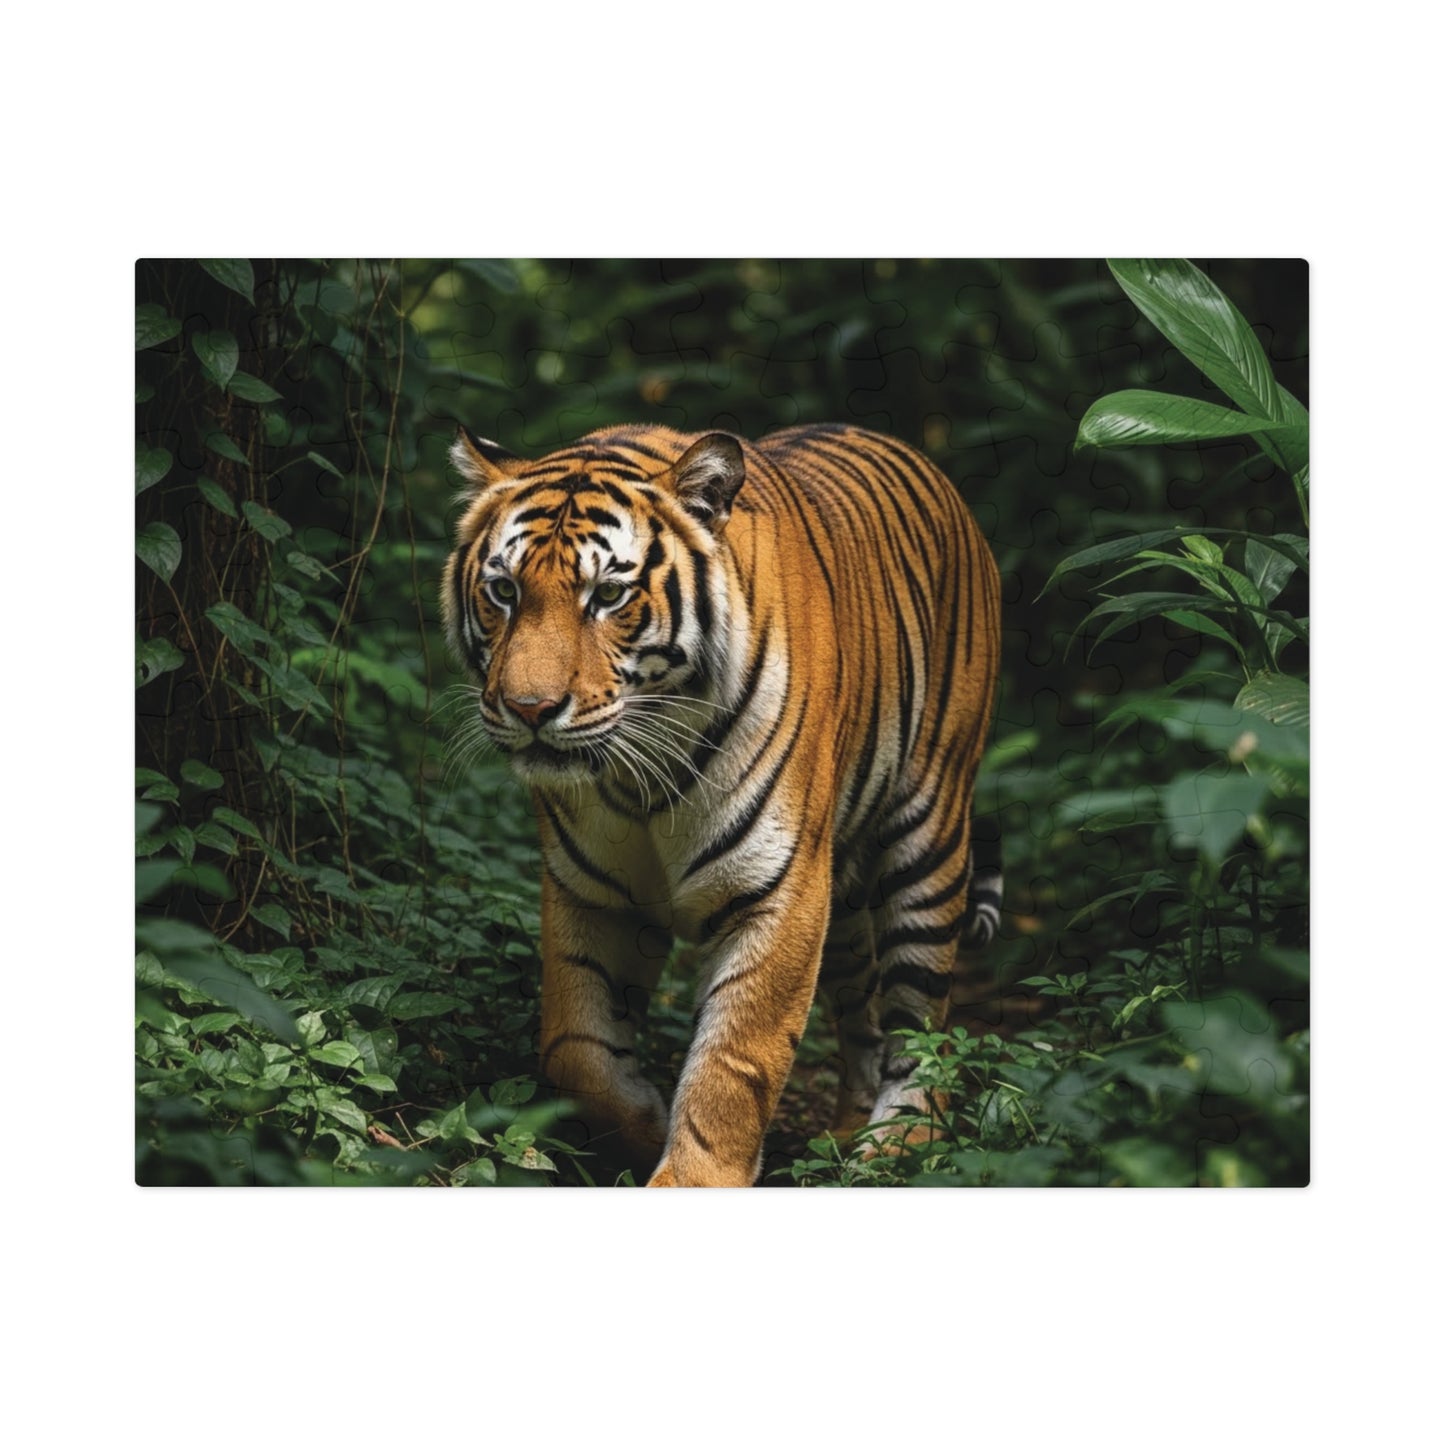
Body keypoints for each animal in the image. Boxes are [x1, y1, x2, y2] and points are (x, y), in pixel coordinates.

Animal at [441, 421, 1001, 1186]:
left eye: (607, 596)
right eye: (502, 590)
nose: (529, 709)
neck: (638, 775)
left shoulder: (778, 890)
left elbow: (734, 1064)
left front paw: (690, 1175)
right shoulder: (590, 892)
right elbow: (574, 1048)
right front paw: (644, 1124)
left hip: (928, 838)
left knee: (920, 1021)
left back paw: (895, 1147)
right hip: (845, 895)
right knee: (861, 1015)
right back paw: (842, 1140)